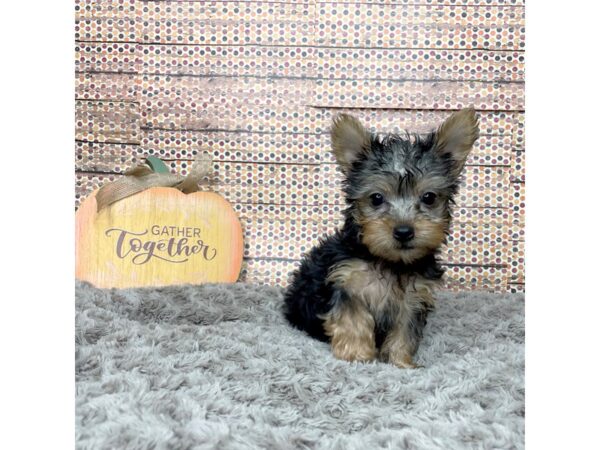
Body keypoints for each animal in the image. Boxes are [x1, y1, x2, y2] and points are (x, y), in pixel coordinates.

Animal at [284, 107, 480, 368]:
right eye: (376, 198)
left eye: (429, 197)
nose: (404, 231)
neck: (391, 262)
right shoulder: (347, 285)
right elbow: (354, 321)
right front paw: (357, 356)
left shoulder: (413, 299)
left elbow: (404, 332)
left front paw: (401, 362)